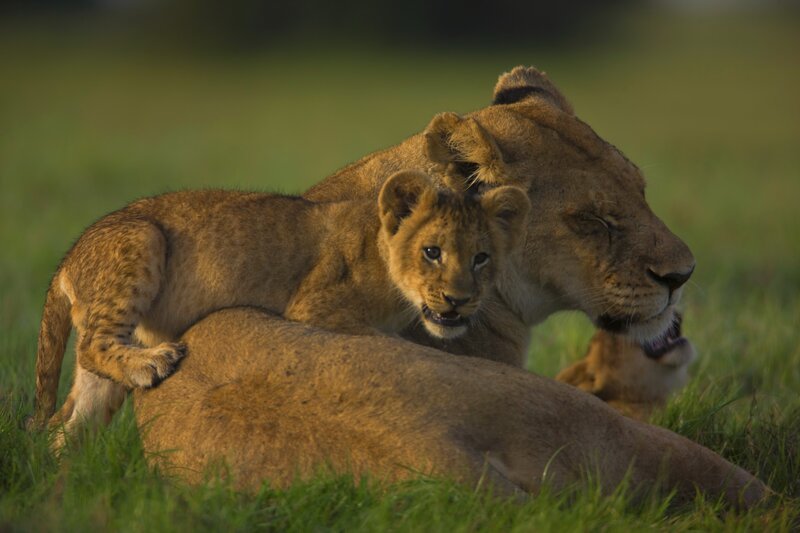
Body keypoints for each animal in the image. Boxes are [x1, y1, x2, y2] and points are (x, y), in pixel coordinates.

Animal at [31, 170, 530, 446]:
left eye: (481, 258)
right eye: (432, 252)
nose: (459, 301)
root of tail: (67, 258)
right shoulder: (314, 308)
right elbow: (383, 339)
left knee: (67, 421)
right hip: (142, 237)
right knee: (91, 347)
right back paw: (153, 363)